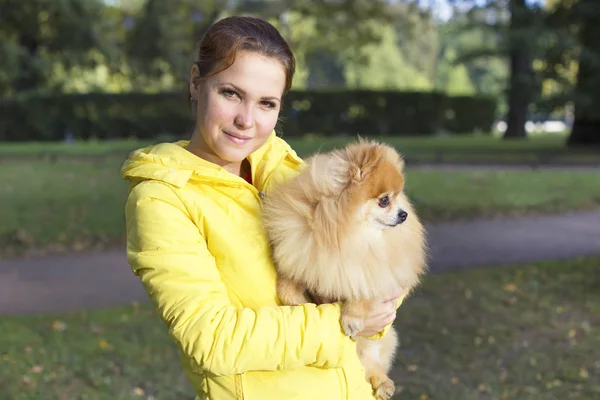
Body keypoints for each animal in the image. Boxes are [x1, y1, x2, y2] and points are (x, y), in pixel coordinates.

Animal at [262, 139, 426, 398]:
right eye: (384, 200)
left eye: (398, 197)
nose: (404, 214)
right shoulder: (304, 256)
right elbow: (287, 285)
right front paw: (297, 301)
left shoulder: (376, 270)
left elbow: (364, 289)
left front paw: (352, 318)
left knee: (372, 362)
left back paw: (384, 384)